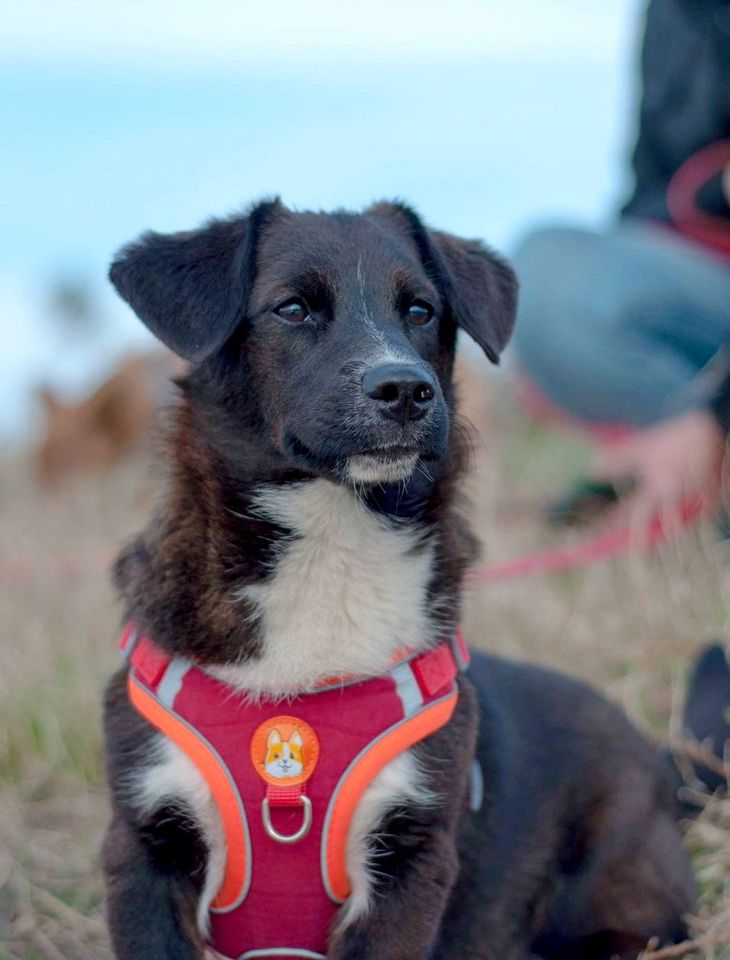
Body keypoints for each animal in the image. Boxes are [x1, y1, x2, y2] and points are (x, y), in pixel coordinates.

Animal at [102, 201, 724, 960]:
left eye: (422, 311)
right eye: (292, 308)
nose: (404, 388)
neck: (332, 547)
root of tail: (660, 762)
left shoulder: (413, 857)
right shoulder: (143, 848)